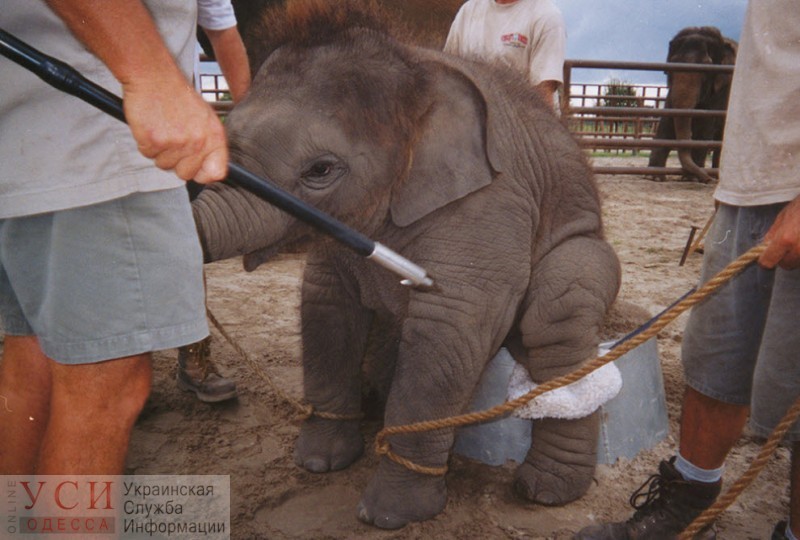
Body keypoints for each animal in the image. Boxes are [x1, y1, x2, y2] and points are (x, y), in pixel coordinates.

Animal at [191, 0, 620, 532]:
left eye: (320, 170)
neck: (416, 71)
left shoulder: (492, 200)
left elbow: (451, 327)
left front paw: (390, 515)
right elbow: (324, 305)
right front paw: (318, 463)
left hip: (586, 246)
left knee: (559, 311)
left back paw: (546, 491)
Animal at [644, 26, 736, 184]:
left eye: (707, 68)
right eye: (672, 64)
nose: (708, 180)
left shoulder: (721, 91)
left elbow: (704, 129)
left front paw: (690, 178)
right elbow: (666, 124)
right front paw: (653, 177)